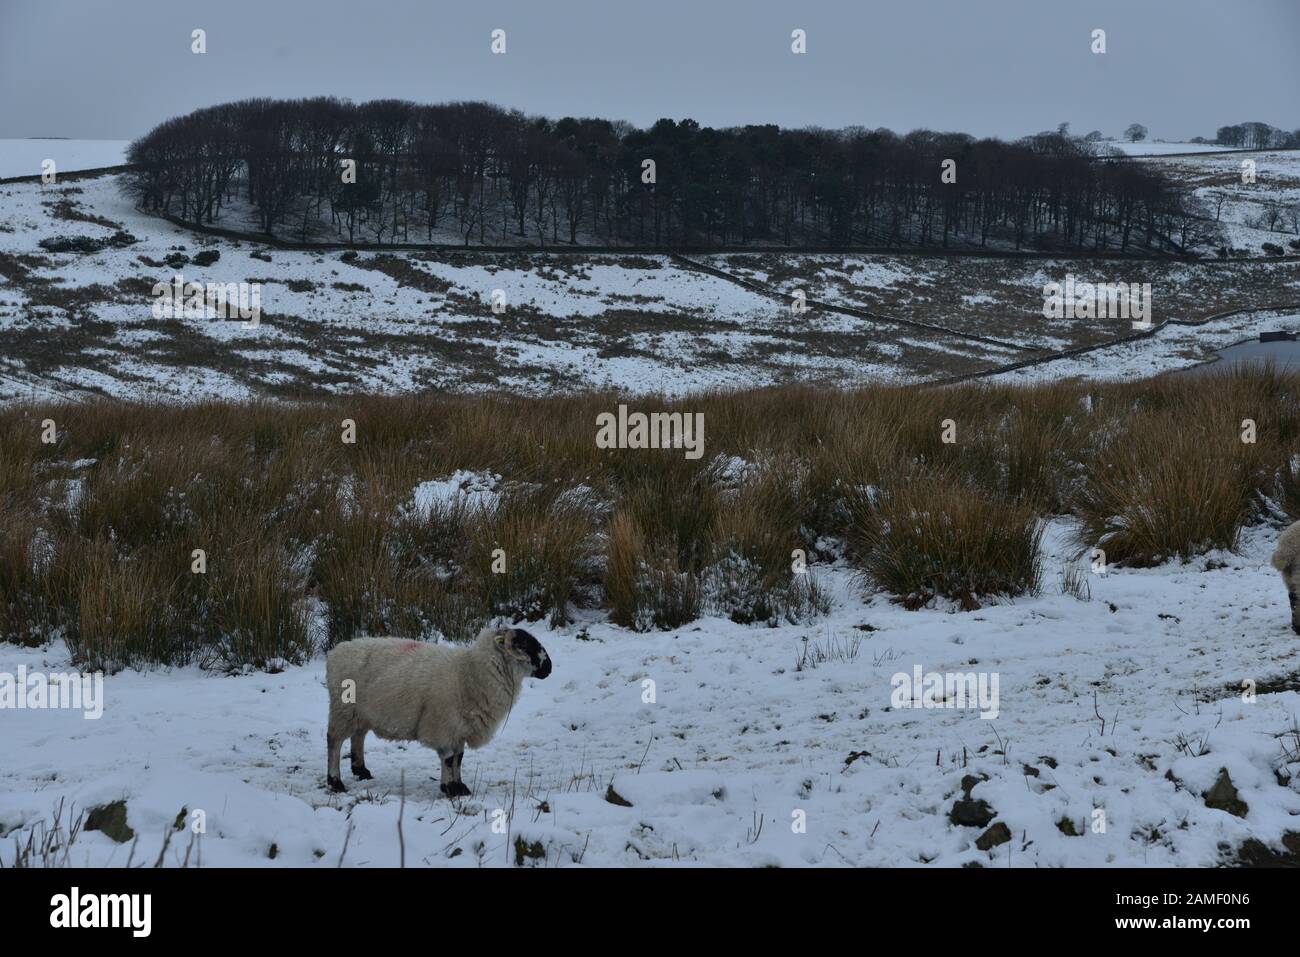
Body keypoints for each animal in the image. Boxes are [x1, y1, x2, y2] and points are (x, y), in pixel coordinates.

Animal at [327, 624, 551, 795]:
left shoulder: (459, 727)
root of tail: (337, 651)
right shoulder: (444, 726)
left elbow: (459, 758)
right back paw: (335, 781)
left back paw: (361, 770)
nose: (549, 667)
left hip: (361, 713)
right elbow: (449, 758)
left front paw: (459, 786)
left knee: (358, 737)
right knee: (334, 742)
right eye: (523, 644)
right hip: (343, 710)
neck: (468, 673)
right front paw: (450, 788)